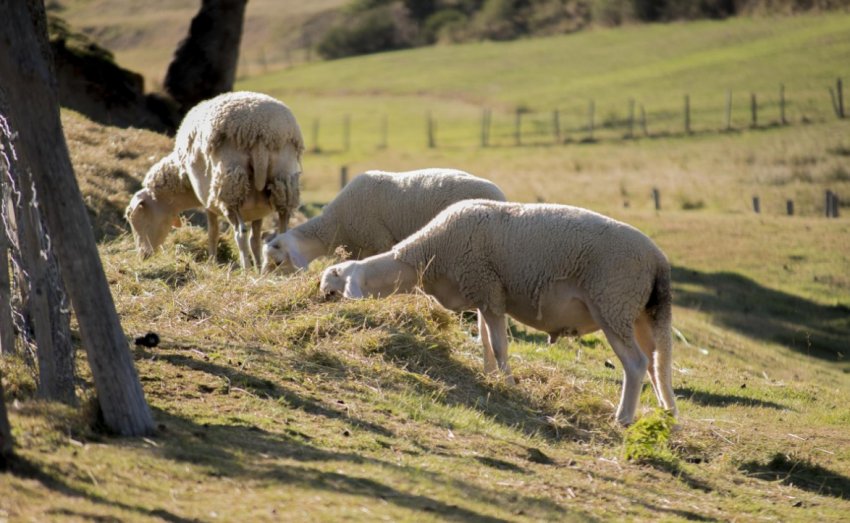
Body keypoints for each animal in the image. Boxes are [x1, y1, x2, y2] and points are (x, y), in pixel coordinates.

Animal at [122, 91, 302, 270]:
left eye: (136, 218)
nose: (143, 256)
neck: (183, 181)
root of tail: (259, 132)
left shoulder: (208, 202)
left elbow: (213, 233)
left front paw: (212, 263)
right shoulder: (259, 209)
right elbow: (255, 240)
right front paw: (259, 268)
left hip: (230, 187)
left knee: (240, 232)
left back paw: (246, 268)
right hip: (284, 180)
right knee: (282, 231)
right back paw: (286, 269)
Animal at [318, 201, 676, 426]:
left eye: (331, 286)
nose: (318, 303)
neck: (426, 255)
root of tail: (658, 260)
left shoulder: (488, 290)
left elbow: (500, 346)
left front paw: (509, 384)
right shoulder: (484, 295)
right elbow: (485, 343)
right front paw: (490, 376)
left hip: (612, 303)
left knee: (636, 364)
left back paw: (623, 418)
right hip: (641, 313)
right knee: (658, 365)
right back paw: (667, 416)